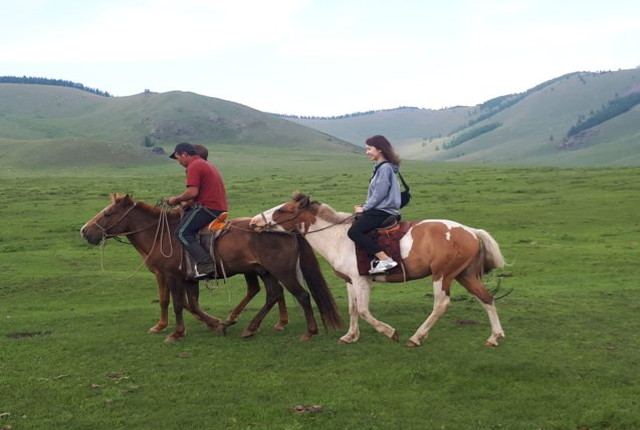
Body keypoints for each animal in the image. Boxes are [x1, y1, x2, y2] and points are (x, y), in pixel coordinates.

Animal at [81, 193, 344, 340]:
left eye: (108, 213)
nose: (85, 231)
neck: (161, 234)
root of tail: (287, 229)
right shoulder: (184, 278)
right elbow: (187, 304)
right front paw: (214, 324)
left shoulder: (172, 276)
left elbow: (177, 303)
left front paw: (175, 333)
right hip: (265, 271)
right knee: (273, 294)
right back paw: (250, 327)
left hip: (281, 271)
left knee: (301, 295)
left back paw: (309, 331)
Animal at [252, 193, 508, 348]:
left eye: (283, 210)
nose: (254, 222)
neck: (338, 237)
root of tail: (471, 231)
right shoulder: (350, 281)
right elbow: (353, 309)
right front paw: (350, 336)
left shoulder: (362, 281)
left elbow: (364, 311)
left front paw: (389, 332)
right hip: (465, 275)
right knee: (486, 298)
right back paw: (494, 337)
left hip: (442, 275)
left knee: (441, 304)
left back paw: (416, 337)